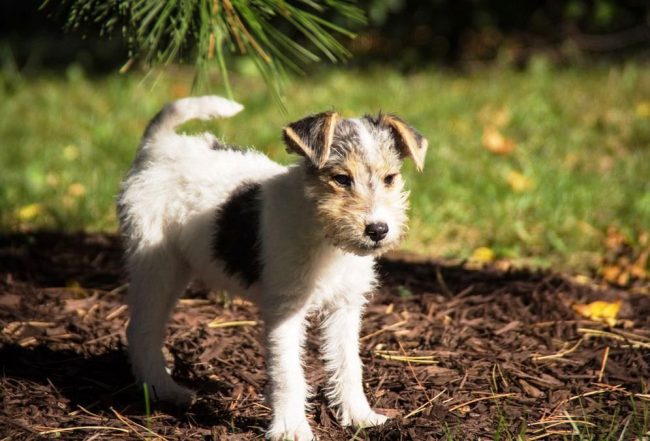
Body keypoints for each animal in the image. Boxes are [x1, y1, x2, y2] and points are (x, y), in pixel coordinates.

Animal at [119, 95, 428, 436]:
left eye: (390, 178)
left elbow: (349, 365)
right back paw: (163, 390)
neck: (323, 234)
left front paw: (360, 416)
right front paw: (291, 428)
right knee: (142, 330)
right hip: (155, 263)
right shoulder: (286, 309)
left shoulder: (344, 307)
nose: (377, 230)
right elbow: (288, 374)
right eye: (341, 179)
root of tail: (159, 147)